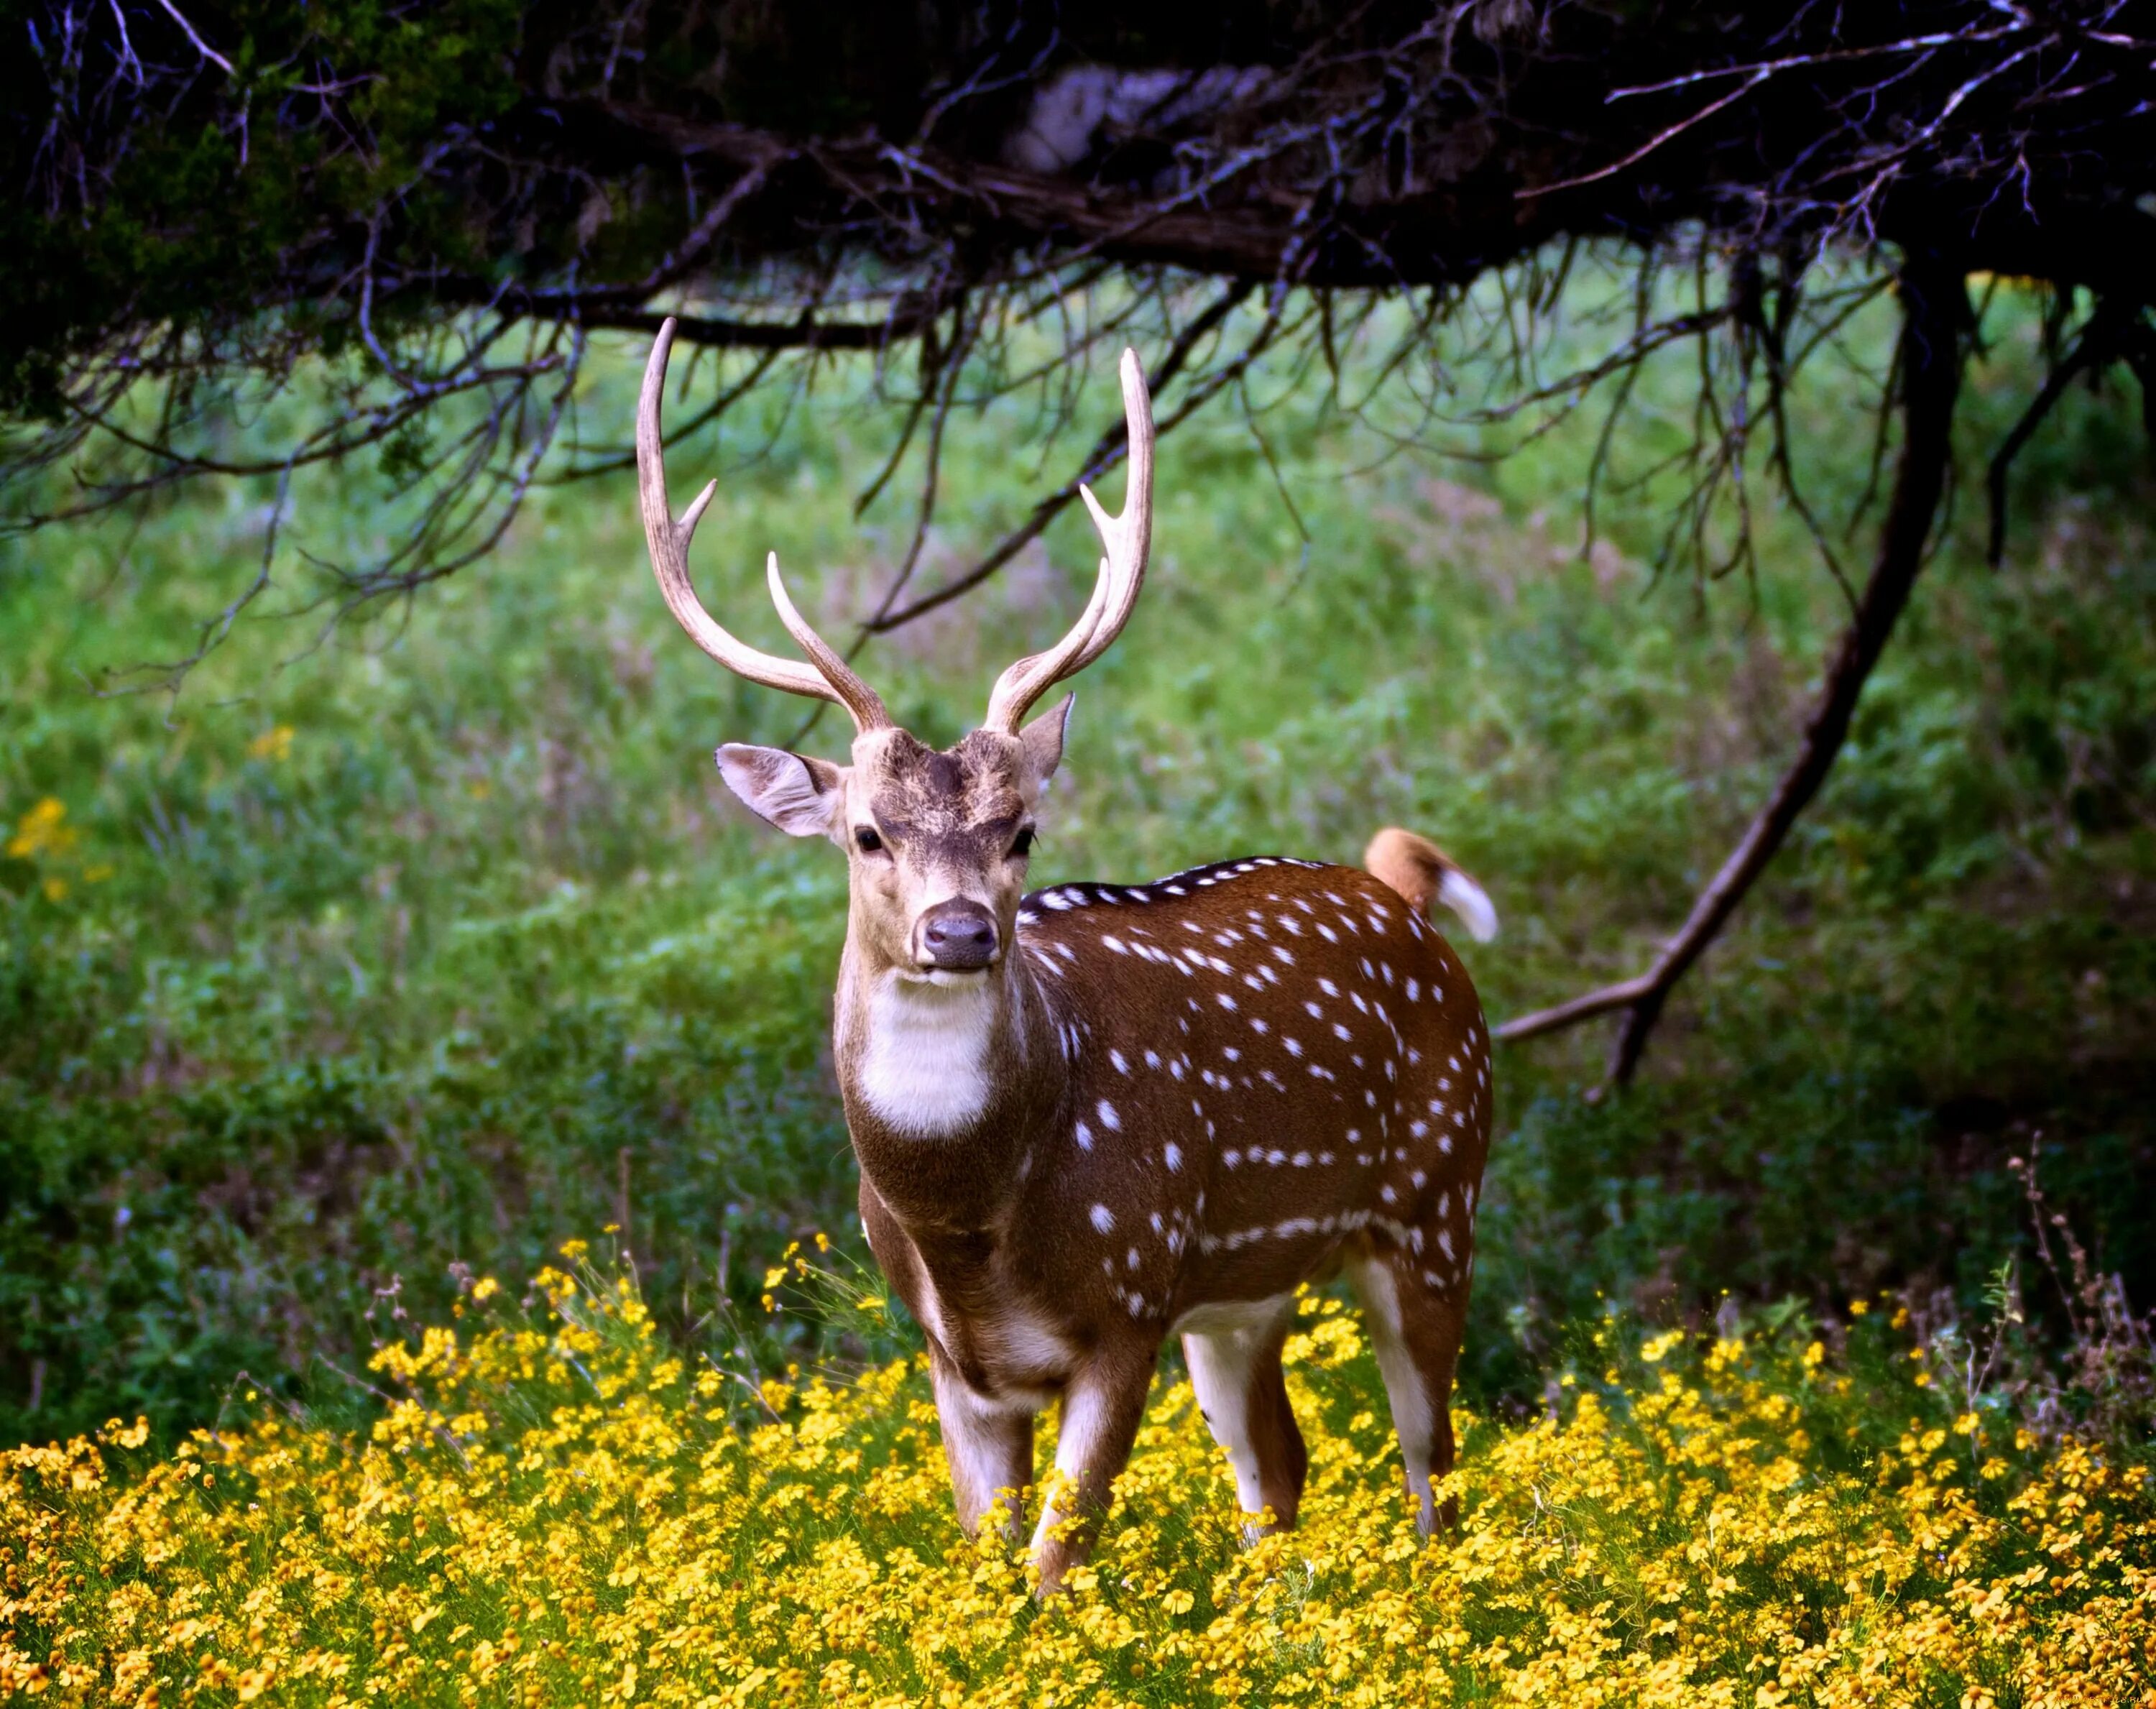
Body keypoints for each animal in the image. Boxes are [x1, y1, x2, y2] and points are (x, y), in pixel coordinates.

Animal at [630, 312, 1492, 1577]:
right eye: (866, 831)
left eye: (1022, 827)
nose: (960, 928)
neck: (972, 1221)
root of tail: (1402, 897)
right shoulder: (954, 1362)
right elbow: (990, 1568)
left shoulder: (1125, 1304)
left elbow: (1048, 1567)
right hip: (1240, 1291)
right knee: (1279, 1465)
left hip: (1436, 1195)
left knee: (1435, 1462)